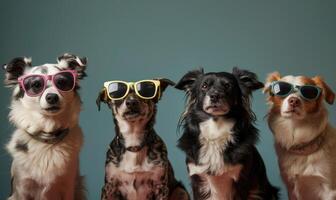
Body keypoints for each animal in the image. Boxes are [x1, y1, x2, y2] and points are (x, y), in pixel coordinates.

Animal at [2, 53, 86, 200]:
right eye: (36, 85)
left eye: (62, 82)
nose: (52, 97)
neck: (48, 136)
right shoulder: (22, 187)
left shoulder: (68, 186)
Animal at [176, 67, 278, 200]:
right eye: (204, 86)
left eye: (228, 86)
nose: (215, 95)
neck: (215, 130)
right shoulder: (197, 180)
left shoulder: (241, 181)